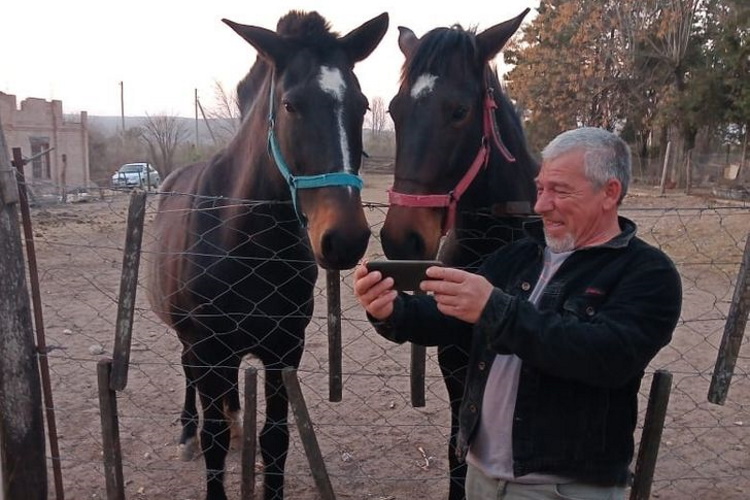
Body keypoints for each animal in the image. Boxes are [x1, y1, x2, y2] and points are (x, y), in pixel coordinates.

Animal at [149, 11, 390, 500]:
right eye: (291, 105)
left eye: (360, 106)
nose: (345, 238)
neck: (248, 247)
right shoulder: (209, 347)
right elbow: (214, 441)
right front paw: (203, 439)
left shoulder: (284, 351)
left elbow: (276, 439)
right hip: (192, 342)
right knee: (189, 376)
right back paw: (186, 433)